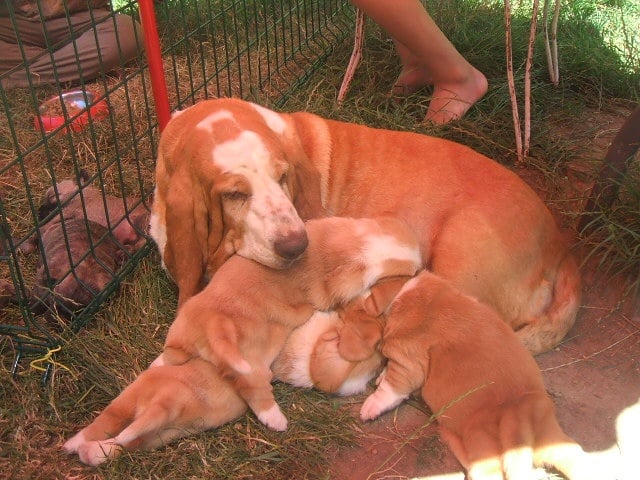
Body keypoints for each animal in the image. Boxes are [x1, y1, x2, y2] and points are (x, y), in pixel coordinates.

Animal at [63, 308, 384, 464]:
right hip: (146, 421)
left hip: (139, 410)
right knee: (117, 437)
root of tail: (168, 406)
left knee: (114, 433)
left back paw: (79, 447)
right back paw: (83, 449)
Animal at [149, 217, 420, 432]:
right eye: (412, 271)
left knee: (171, 353)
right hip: (254, 366)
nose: (420, 269)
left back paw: (156, 365)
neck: (356, 246)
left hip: (181, 328)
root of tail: (218, 325)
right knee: (256, 393)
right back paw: (276, 421)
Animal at [344, 270, 600, 480]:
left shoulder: (407, 363)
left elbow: (389, 389)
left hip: (484, 451)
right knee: (574, 458)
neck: (403, 293)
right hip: (555, 440)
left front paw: (371, 405)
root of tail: (517, 417)